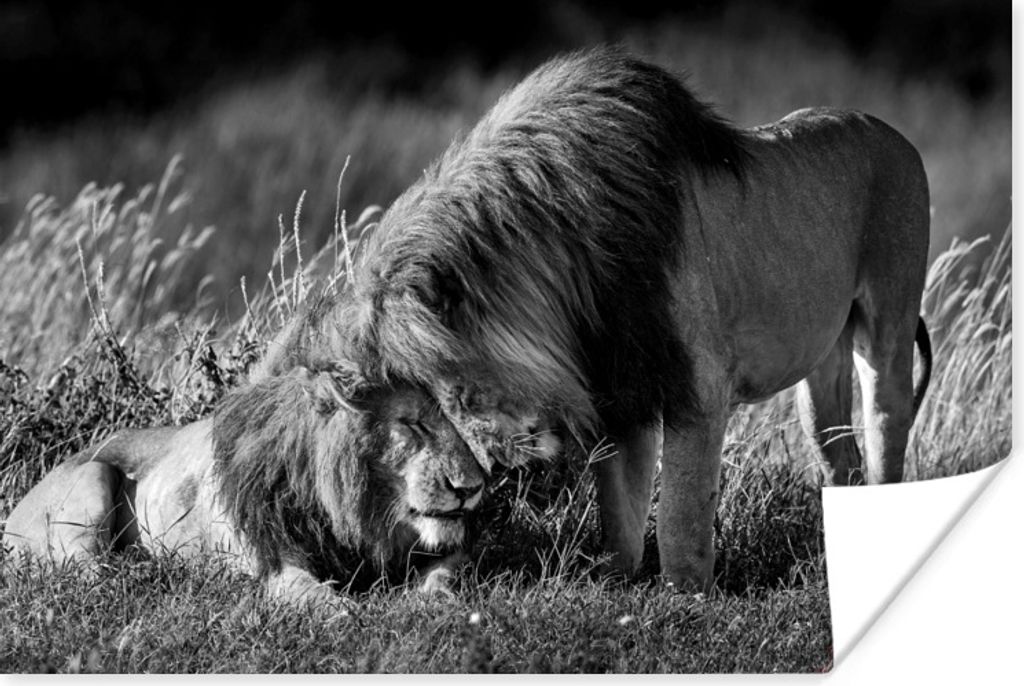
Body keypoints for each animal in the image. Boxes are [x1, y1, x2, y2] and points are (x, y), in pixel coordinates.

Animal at [2, 363, 485, 605]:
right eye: (413, 424)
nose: (474, 486)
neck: (362, 514)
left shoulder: (448, 548)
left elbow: (447, 574)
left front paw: (432, 601)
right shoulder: (269, 558)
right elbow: (306, 592)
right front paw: (340, 612)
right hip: (93, 472)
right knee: (84, 573)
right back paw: (141, 570)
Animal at [263, 47, 935, 592]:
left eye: (431, 403)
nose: (481, 479)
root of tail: (893, 132)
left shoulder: (697, 386)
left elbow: (681, 511)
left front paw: (686, 600)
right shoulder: (620, 390)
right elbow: (620, 509)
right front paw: (615, 583)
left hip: (889, 325)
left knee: (885, 431)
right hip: (818, 378)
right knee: (839, 457)